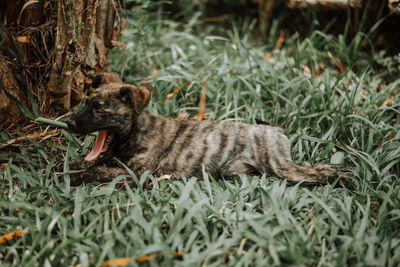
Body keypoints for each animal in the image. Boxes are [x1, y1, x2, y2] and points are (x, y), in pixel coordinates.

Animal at [63, 73, 346, 186]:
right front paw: (69, 167)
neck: (135, 131)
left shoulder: (137, 174)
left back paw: (342, 179)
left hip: (279, 166)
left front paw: (75, 176)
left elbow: (97, 169)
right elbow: (91, 162)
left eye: (99, 110)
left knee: (316, 171)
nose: (70, 123)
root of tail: (276, 130)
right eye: (86, 103)